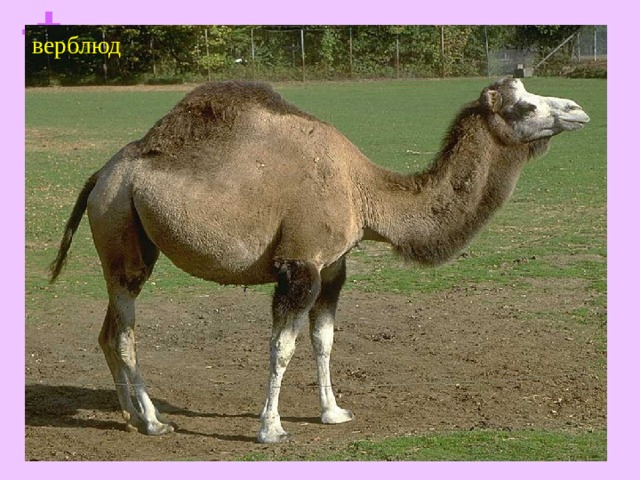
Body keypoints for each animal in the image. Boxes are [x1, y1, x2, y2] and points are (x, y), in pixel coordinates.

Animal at [49, 77, 589, 443]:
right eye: (525, 104)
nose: (579, 109)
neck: (363, 191)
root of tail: (101, 174)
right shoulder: (299, 264)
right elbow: (283, 346)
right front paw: (270, 429)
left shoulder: (333, 267)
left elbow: (323, 338)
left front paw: (333, 412)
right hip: (120, 224)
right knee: (125, 332)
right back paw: (155, 421)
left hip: (127, 239)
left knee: (109, 330)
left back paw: (129, 415)